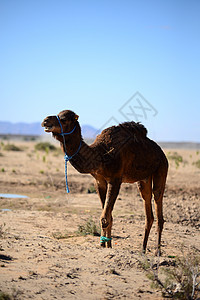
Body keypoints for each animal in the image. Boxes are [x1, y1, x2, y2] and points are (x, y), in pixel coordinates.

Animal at [41, 109, 168, 254]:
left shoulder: (115, 180)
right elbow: (108, 214)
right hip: (144, 179)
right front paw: (106, 244)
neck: (100, 155)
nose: (45, 120)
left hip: (161, 168)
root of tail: (161, 153)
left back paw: (158, 251)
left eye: (63, 119)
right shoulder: (99, 181)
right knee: (148, 207)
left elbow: (105, 217)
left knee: (158, 201)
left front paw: (104, 244)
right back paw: (143, 249)